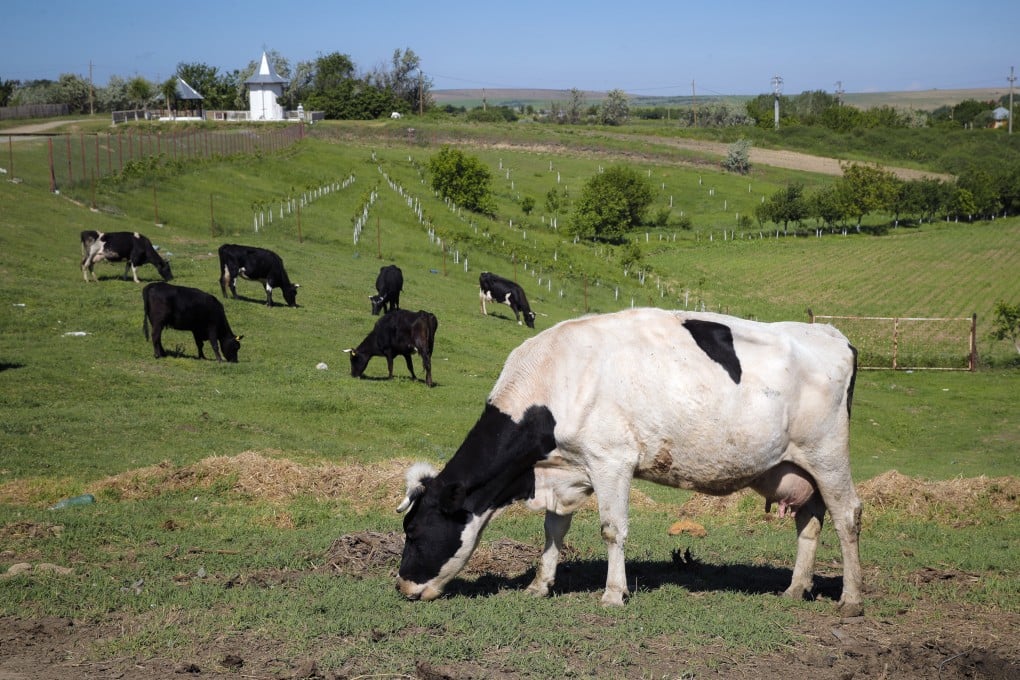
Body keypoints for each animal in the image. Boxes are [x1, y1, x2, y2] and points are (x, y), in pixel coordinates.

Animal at [395, 308, 864, 616]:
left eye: (414, 532)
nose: (402, 587)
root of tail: (832, 334)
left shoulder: (611, 460)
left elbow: (612, 529)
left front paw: (613, 594)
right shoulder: (567, 470)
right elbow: (553, 530)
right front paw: (539, 585)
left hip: (828, 454)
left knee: (847, 516)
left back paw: (852, 598)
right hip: (799, 468)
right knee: (810, 523)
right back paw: (796, 588)